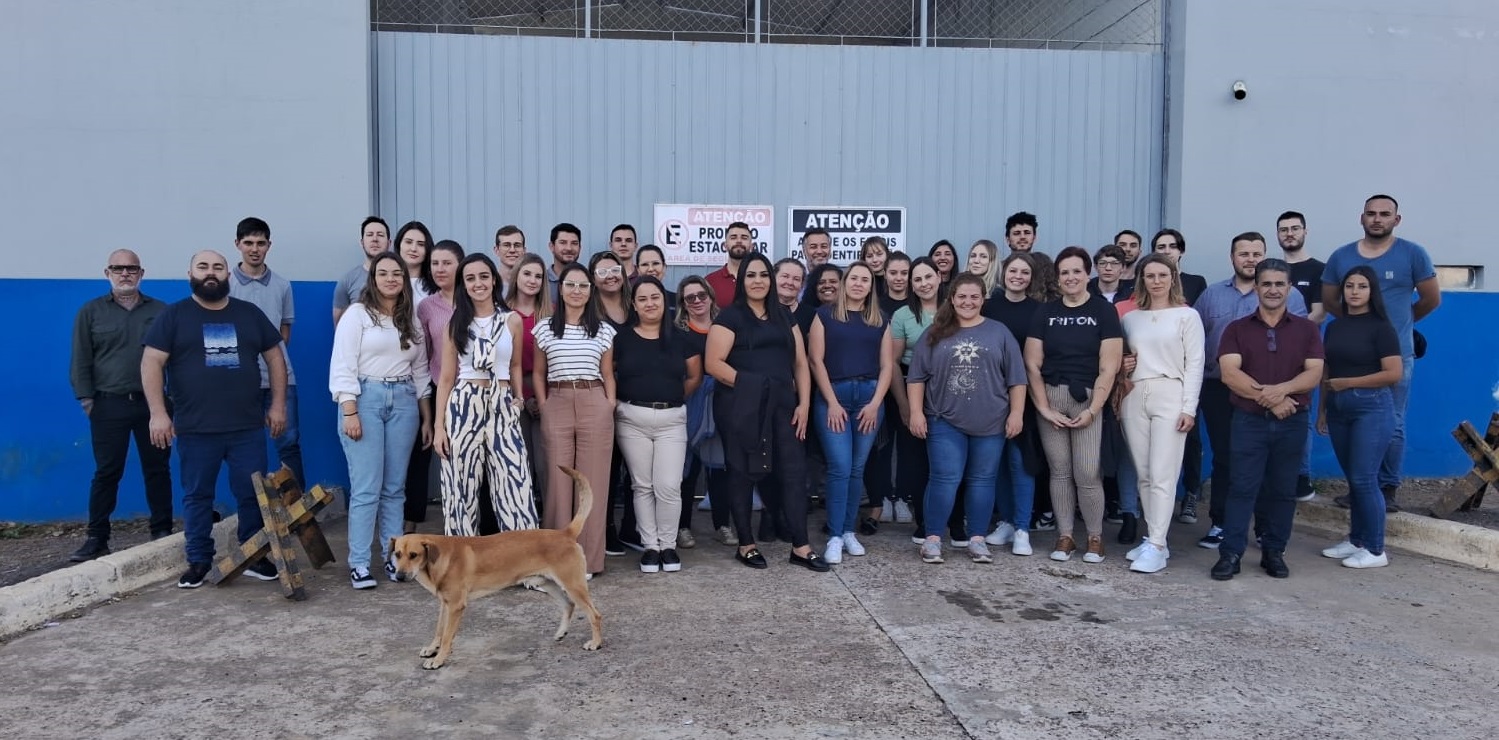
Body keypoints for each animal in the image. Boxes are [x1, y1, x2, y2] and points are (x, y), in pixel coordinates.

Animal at [388, 466, 603, 669]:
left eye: (414, 555)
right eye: (397, 554)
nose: (399, 576)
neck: (439, 557)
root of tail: (565, 533)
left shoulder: (456, 606)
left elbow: (447, 636)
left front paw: (439, 659)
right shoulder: (445, 604)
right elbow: (439, 630)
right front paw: (433, 648)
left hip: (574, 585)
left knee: (594, 614)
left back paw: (595, 643)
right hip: (548, 583)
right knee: (569, 605)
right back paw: (561, 632)